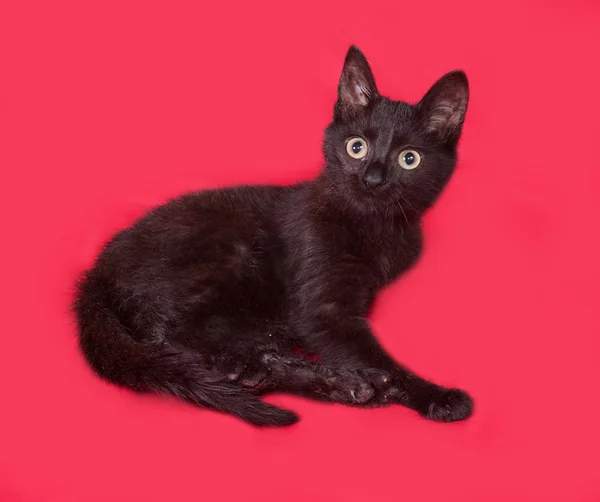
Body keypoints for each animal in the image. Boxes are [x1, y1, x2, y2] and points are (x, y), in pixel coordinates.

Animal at [72, 45, 474, 426]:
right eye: (356, 147)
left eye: (409, 159)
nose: (372, 179)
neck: (376, 230)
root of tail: (97, 271)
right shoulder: (322, 311)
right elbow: (380, 360)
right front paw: (435, 396)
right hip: (228, 252)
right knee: (172, 338)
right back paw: (339, 381)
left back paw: (336, 384)